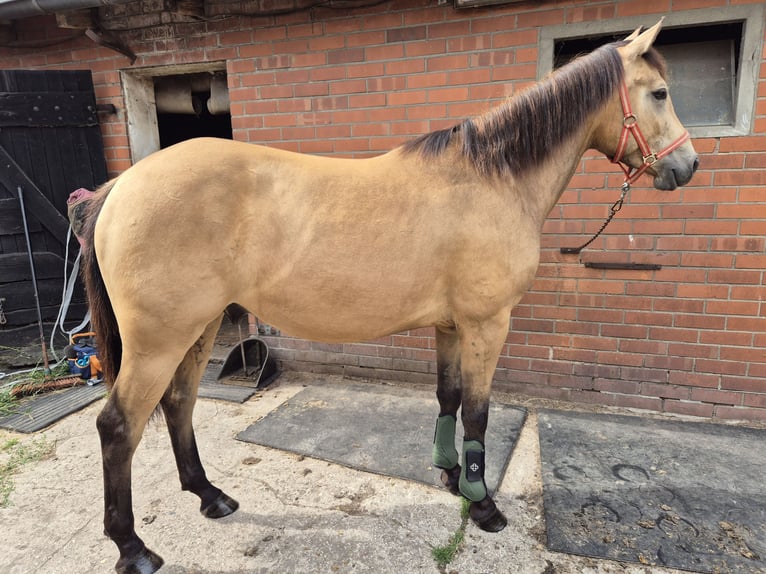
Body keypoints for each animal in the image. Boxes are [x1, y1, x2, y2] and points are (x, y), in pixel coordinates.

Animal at [81, 20, 697, 573]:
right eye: (659, 92)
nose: (687, 165)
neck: (492, 179)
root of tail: (121, 186)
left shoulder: (450, 326)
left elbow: (449, 399)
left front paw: (451, 475)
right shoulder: (486, 323)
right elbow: (478, 413)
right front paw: (484, 506)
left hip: (200, 327)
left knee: (178, 404)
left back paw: (211, 496)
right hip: (160, 339)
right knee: (119, 427)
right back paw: (133, 548)